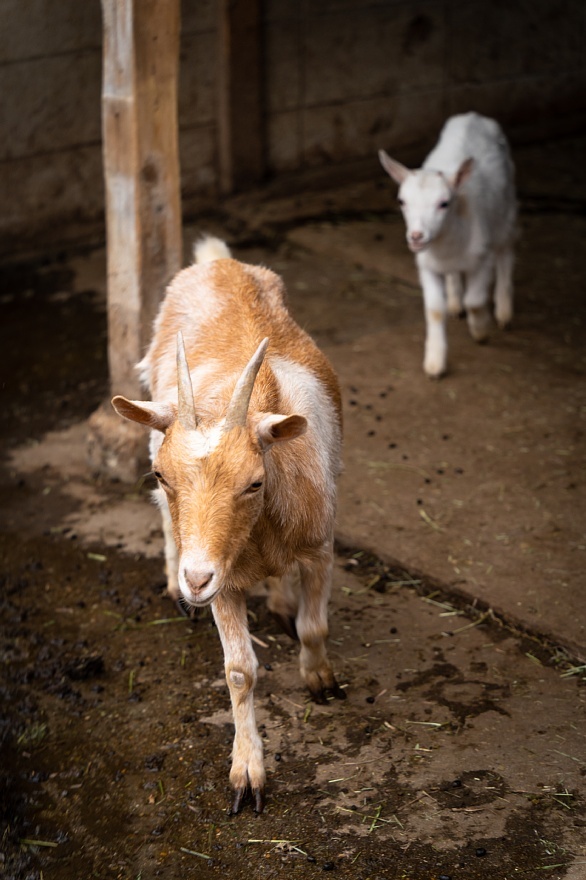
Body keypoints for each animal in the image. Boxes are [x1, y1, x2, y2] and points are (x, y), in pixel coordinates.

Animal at [110, 237, 342, 816]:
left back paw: (279, 600)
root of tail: (217, 260)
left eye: (255, 483)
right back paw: (175, 586)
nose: (196, 581)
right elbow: (239, 671)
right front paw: (247, 775)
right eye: (162, 474)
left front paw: (320, 679)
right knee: (166, 525)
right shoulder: (226, 583)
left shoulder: (321, 547)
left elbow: (315, 625)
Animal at [376, 111, 512, 376]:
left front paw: (480, 332)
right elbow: (435, 310)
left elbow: (475, 301)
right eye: (401, 201)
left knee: (505, 251)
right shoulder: (427, 265)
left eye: (444, 203)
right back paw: (454, 301)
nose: (416, 236)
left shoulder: (483, 259)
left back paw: (503, 310)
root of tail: (473, 116)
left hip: (507, 211)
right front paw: (435, 362)